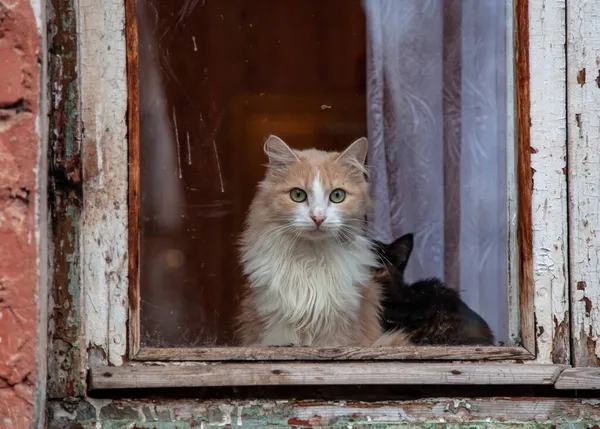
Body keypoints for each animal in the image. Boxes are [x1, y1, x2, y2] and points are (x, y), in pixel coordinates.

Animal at [237, 135, 410, 346]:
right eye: (297, 195)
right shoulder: (274, 320)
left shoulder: (340, 326)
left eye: (337, 195)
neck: (312, 257)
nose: (317, 218)